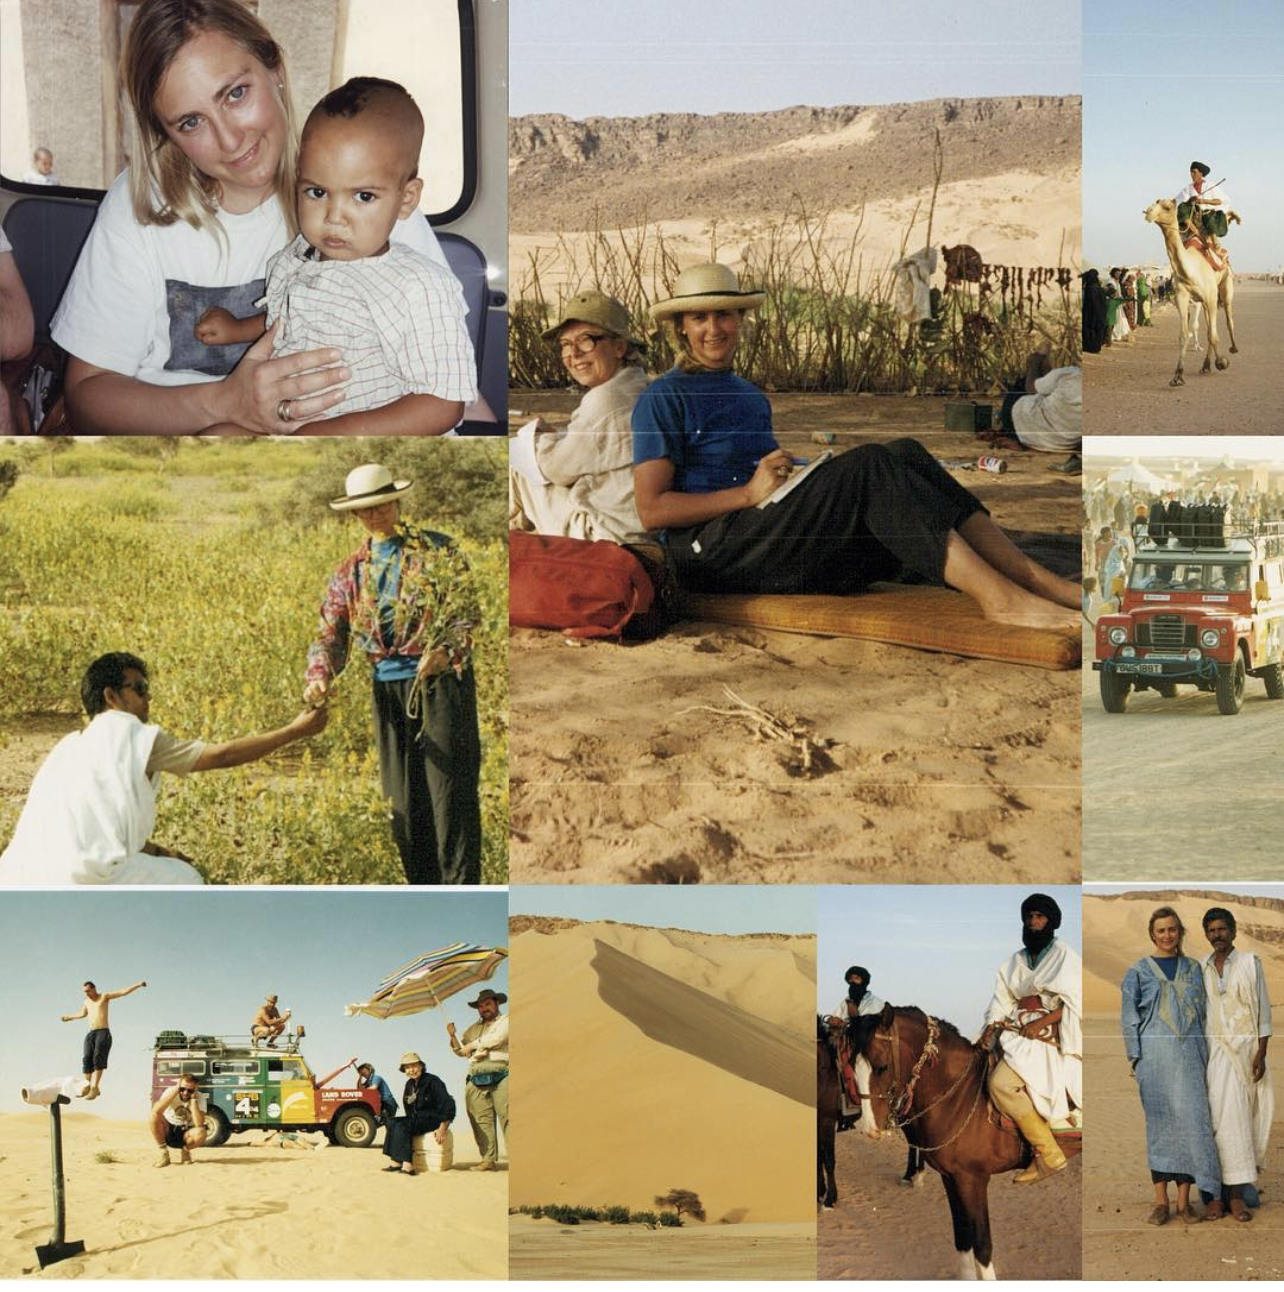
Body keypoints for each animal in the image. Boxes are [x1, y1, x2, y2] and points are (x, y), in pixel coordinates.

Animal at [852, 1002, 1079, 1276]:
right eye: (852, 1065)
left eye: (882, 1066)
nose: (866, 1128)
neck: (959, 1095)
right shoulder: (951, 1179)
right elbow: (963, 1241)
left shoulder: (973, 1180)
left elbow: (982, 1245)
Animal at [1141, 196, 1229, 385]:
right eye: (1155, 203)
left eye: (1166, 207)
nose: (1148, 212)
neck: (1191, 271)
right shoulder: (1181, 297)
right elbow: (1183, 335)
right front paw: (1177, 376)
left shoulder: (1210, 298)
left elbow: (1212, 334)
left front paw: (1222, 362)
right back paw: (1205, 366)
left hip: (1223, 287)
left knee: (1222, 321)